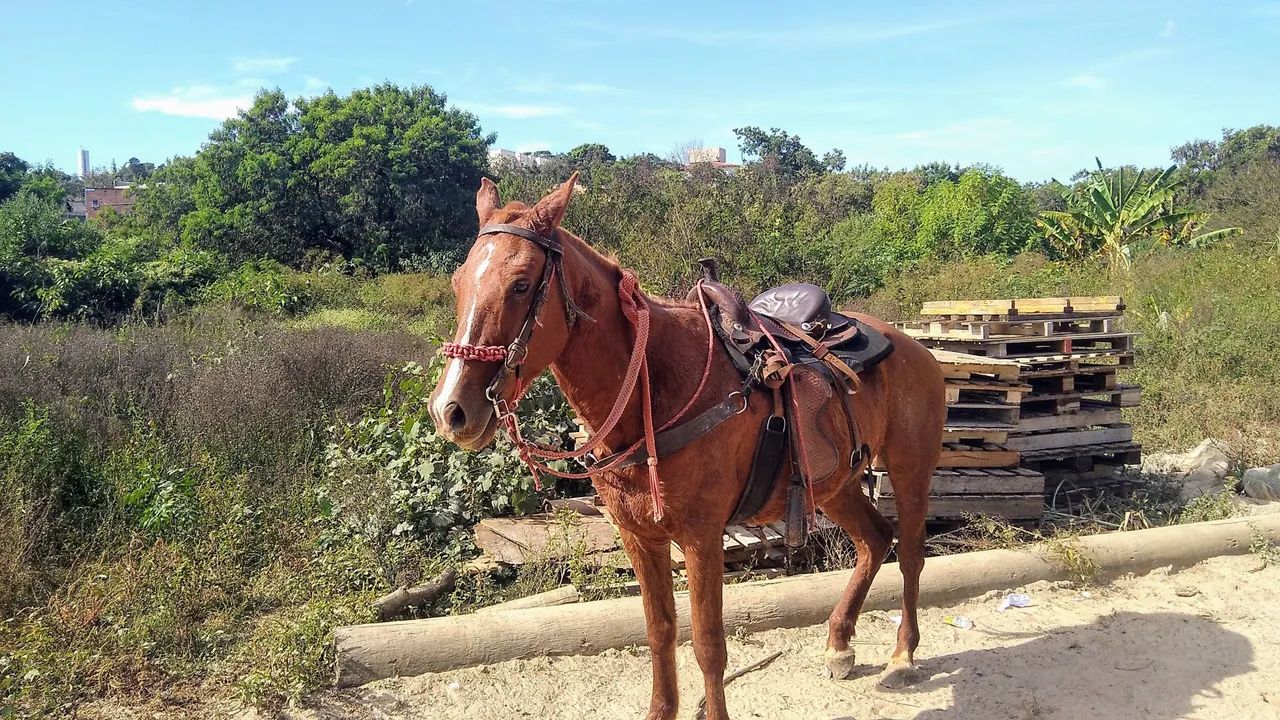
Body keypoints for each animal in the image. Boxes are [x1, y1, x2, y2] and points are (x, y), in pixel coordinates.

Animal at [428, 173, 945, 720]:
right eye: (459, 282)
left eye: (522, 284)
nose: (450, 410)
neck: (653, 392)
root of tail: (913, 346)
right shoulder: (640, 536)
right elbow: (659, 630)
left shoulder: (701, 537)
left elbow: (707, 643)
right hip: (835, 485)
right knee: (874, 540)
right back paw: (840, 644)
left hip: (910, 470)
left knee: (910, 554)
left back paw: (903, 655)